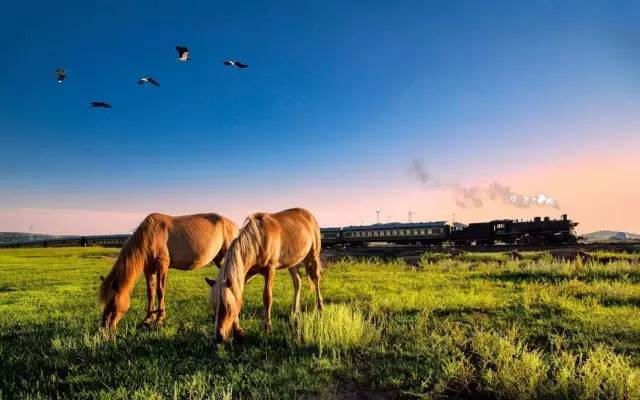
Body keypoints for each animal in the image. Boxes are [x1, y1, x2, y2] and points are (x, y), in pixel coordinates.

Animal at [99, 212, 239, 332]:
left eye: (113, 302)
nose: (105, 326)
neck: (151, 235)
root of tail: (233, 225)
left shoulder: (162, 266)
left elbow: (160, 291)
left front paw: (159, 318)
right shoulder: (148, 269)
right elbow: (150, 292)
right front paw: (148, 319)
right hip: (219, 259)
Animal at [206, 208, 324, 342]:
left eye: (227, 306)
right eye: (214, 306)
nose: (218, 337)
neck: (258, 240)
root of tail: (309, 215)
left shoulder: (270, 270)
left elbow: (267, 298)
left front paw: (267, 328)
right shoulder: (246, 274)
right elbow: (238, 294)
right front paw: (238, 330)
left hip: (313, 255)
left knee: (316, 280)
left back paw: (320, 307)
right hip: (292, 263)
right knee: (297, 283)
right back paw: (294, 312)